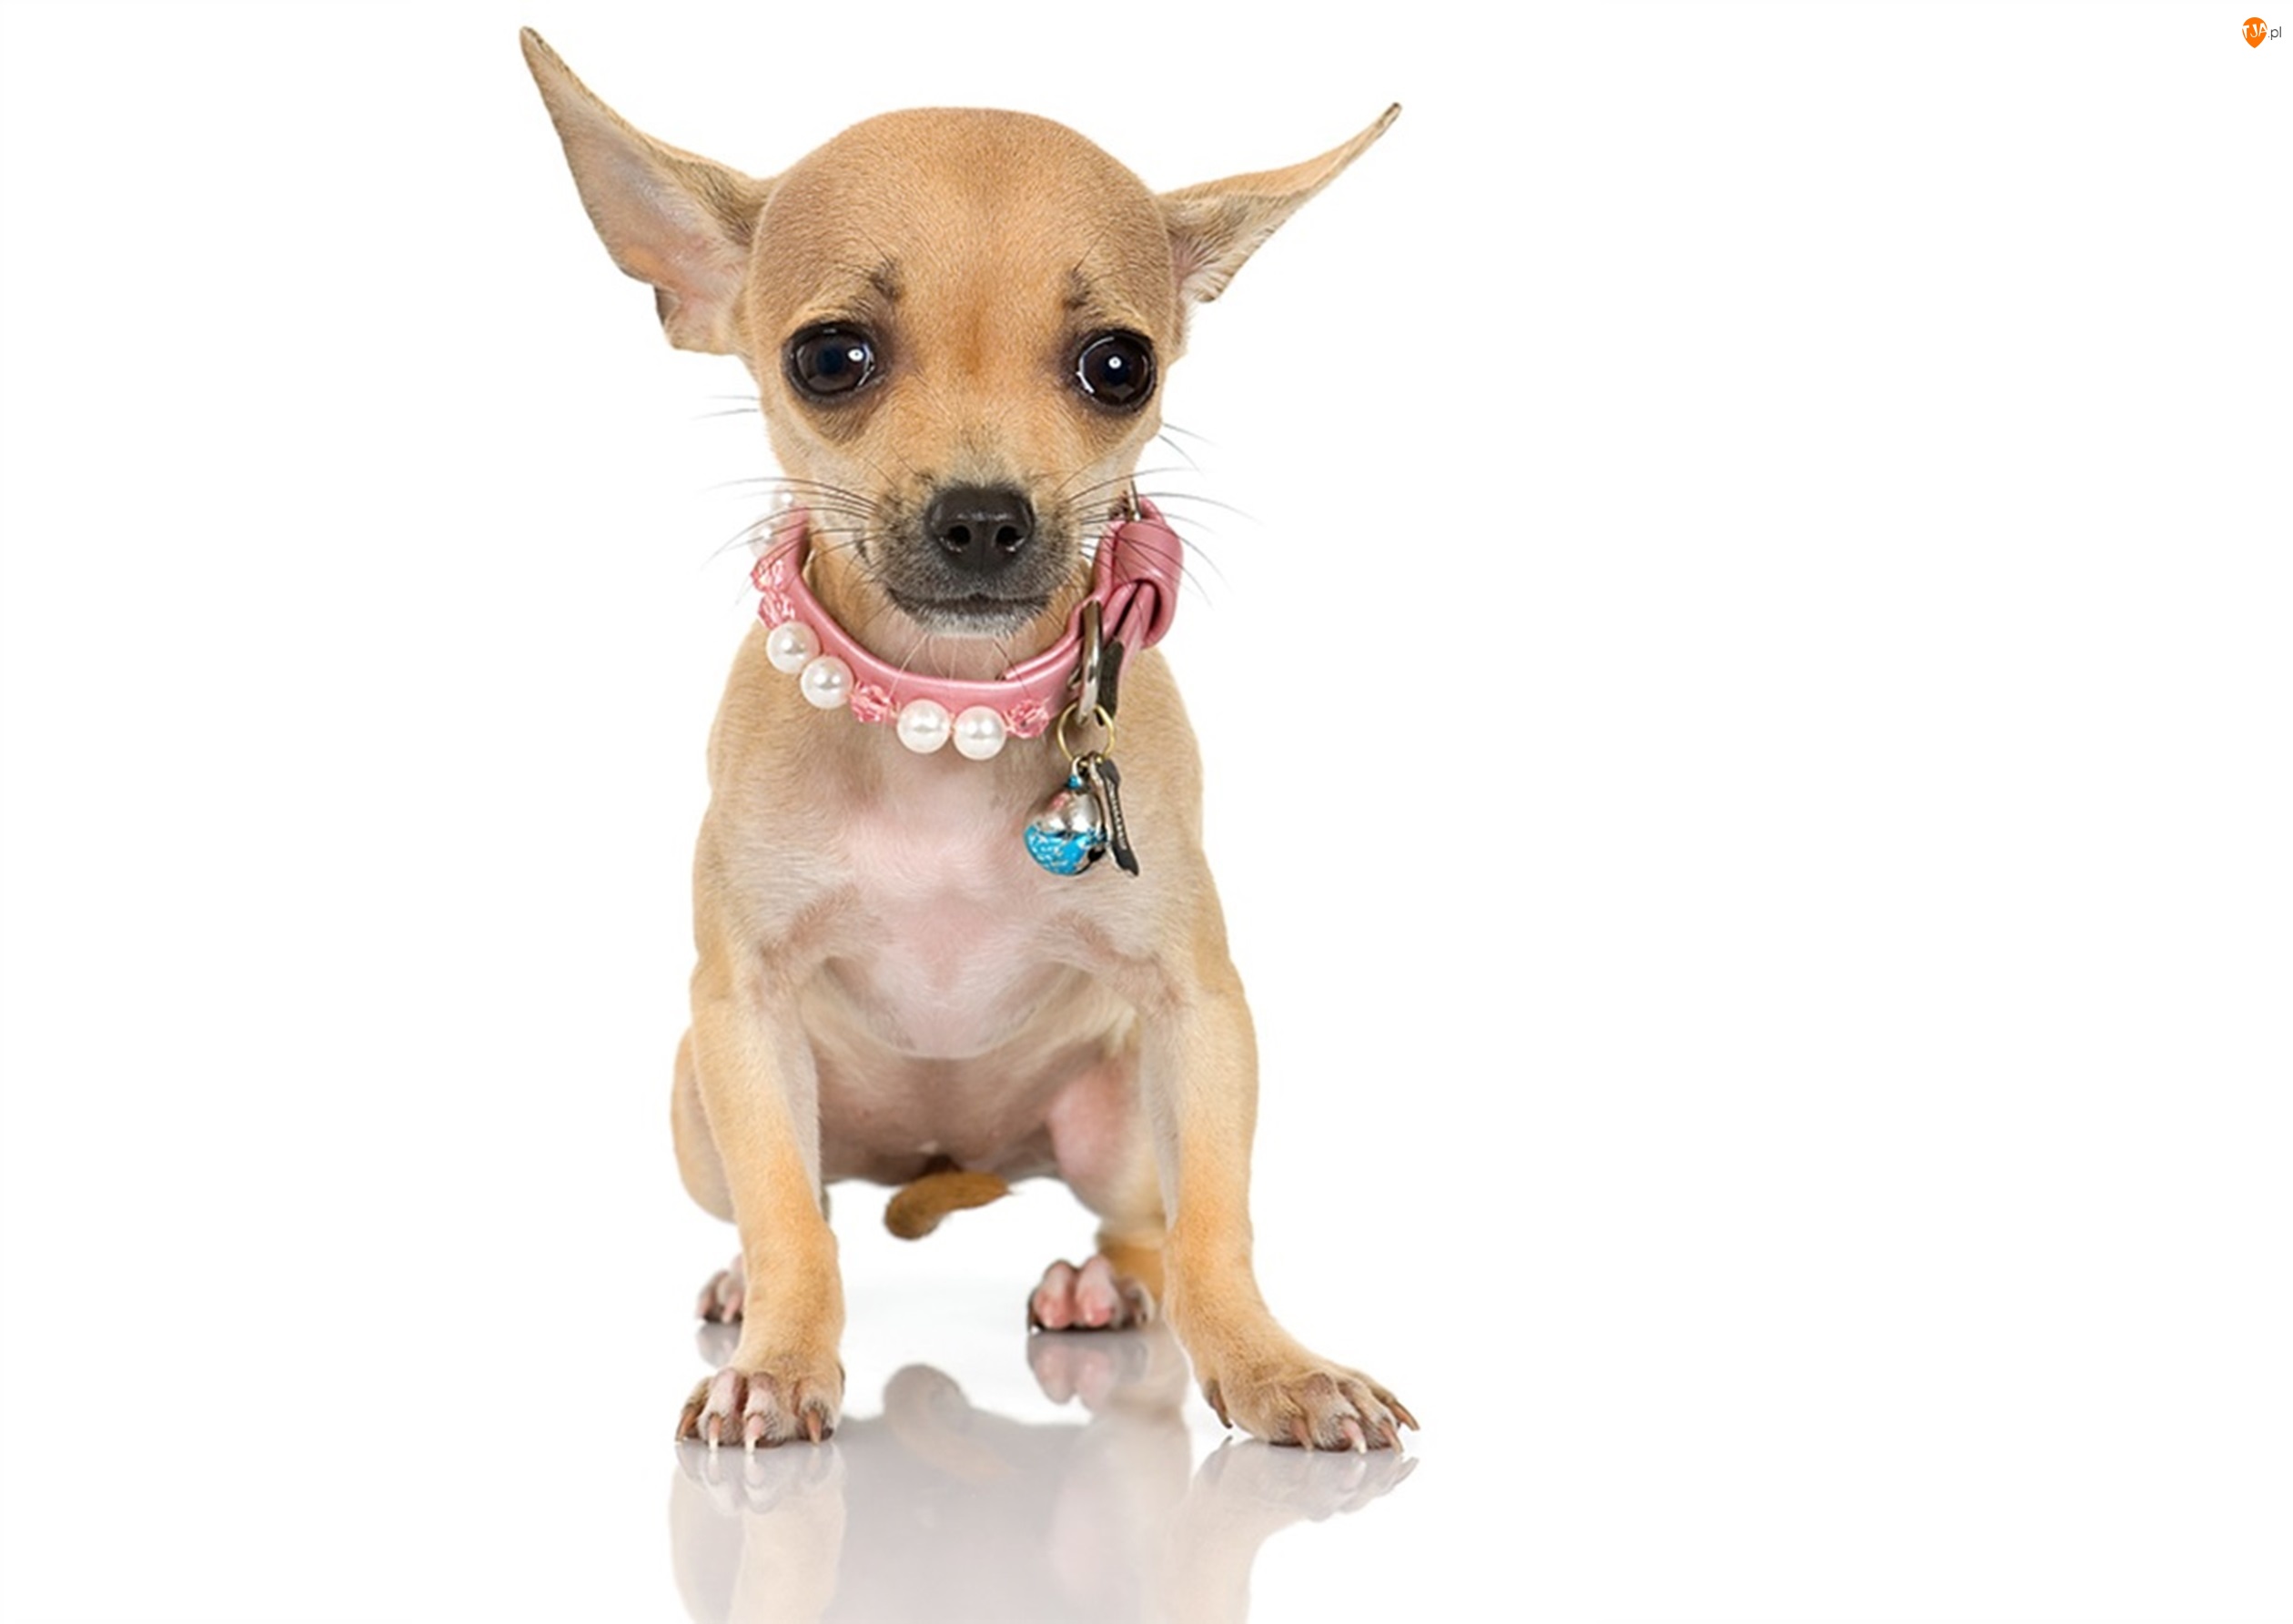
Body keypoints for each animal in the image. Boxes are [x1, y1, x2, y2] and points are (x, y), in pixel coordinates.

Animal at [522, 28, 1410, 1452]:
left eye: (1120, 364)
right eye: (830, 357)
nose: (985, 517)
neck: (948, 721)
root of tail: (949, 1154)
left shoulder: (1199, 1010)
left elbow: (1219, 1225)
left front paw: (1274, 1365)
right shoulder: (742, 1012)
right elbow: (792, 1221)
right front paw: (781, 1356)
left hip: (1111, 1117)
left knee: (1145, 1227)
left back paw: (1103, 1290)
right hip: (696, 1104)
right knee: (791, 1204)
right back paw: (746, 1286)